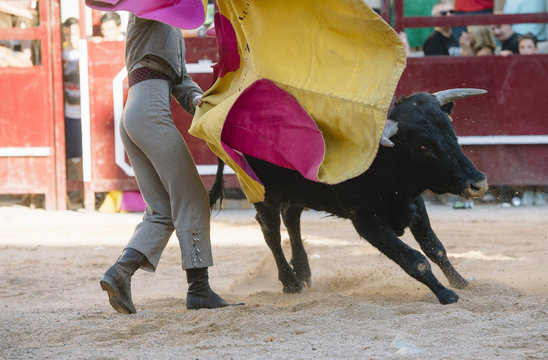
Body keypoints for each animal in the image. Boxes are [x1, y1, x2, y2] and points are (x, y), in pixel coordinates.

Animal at [210, 89, 488, 304]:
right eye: (422, 146)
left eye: (451, 132)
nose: (478, 183)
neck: (381, 161)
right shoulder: (365, 220)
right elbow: (414, 259)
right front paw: (446, 293)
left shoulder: (414, 202)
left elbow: (435, 247)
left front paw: (463, 283)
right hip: (262, 193)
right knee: (271, 231)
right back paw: (291, 283)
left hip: (300, 191)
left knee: (291, 218)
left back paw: (303, 271)